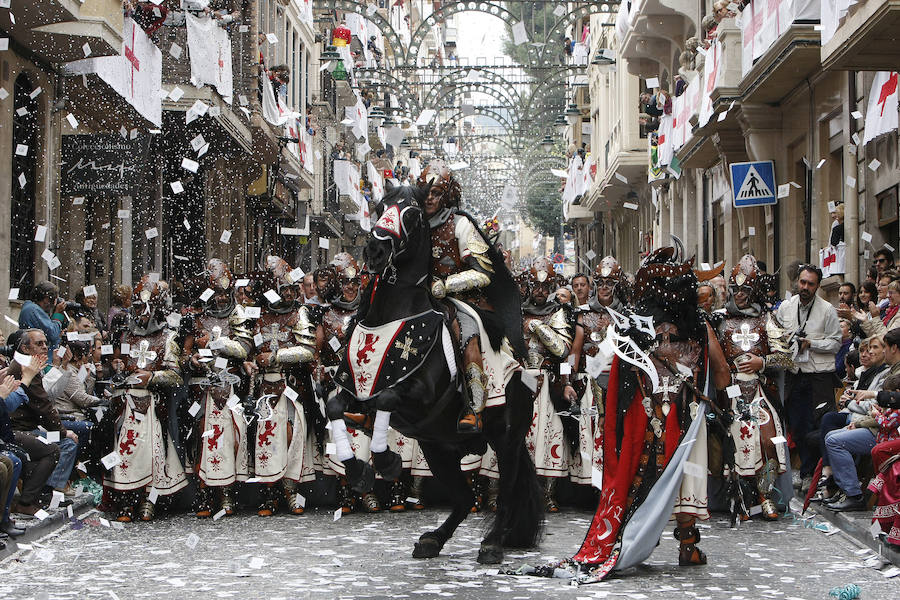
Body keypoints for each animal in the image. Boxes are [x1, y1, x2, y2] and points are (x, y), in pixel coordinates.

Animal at [328, 185, 540, 564]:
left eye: (412, 214)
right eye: (381, 207)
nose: (375, 250)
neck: (395, 314)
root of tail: (523, 373)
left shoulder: (422, 394)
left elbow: (387, 396)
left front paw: (386, 460)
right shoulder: (355, 389)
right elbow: (335, 406)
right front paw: (357, 469)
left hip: (507, 439)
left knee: (506, 494)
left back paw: (493, 544)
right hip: (437, 448)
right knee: (464, 499)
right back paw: (433, 539)